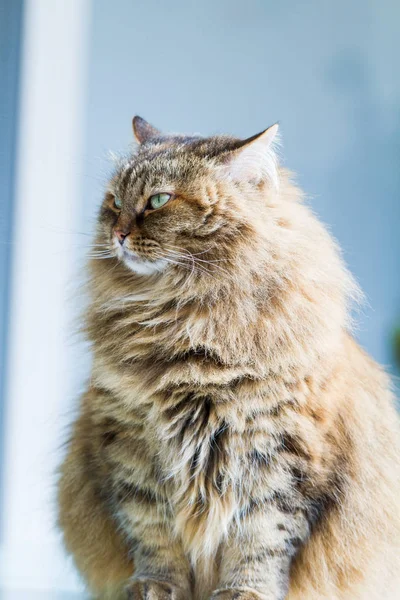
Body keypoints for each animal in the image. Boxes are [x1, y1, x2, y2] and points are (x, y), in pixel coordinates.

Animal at [57, 118, 400, 600]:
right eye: (115, 202)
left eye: (158, 200)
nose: (117, 234)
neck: (188, 327)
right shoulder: (131, 449)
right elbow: (153, 535)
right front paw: (154, 587)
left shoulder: (280, 456)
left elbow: (260, 537)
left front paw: (244, 592)